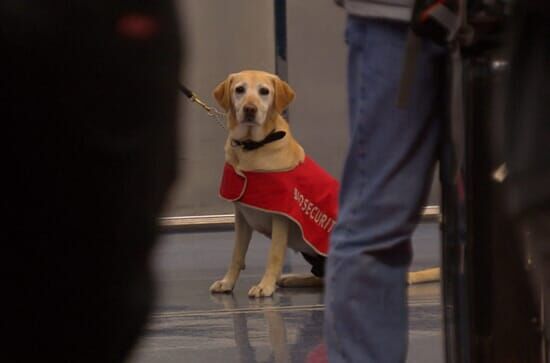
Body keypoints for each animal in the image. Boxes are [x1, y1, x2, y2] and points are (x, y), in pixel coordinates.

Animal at [209, 69, 442, 298]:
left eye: (264, 91)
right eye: (239, 90)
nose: (250, 109)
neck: (252, 148)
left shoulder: (280, 218)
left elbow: (274, 255)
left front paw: (265, 286)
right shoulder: (242, 217)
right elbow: (236, 255)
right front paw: (227, 282)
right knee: (322, 278)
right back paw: (293, 279)